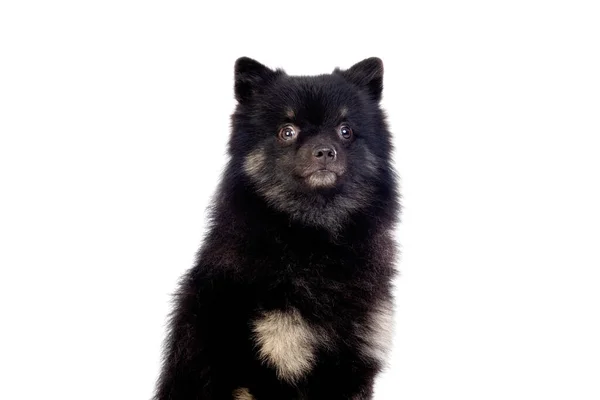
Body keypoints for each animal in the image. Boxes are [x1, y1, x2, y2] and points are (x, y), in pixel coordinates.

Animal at [155, 57, 398, 400]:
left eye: (345, 131)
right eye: (287, 131)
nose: (325, 151)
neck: (315, 242)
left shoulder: (355, 367)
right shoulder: (269, 365)